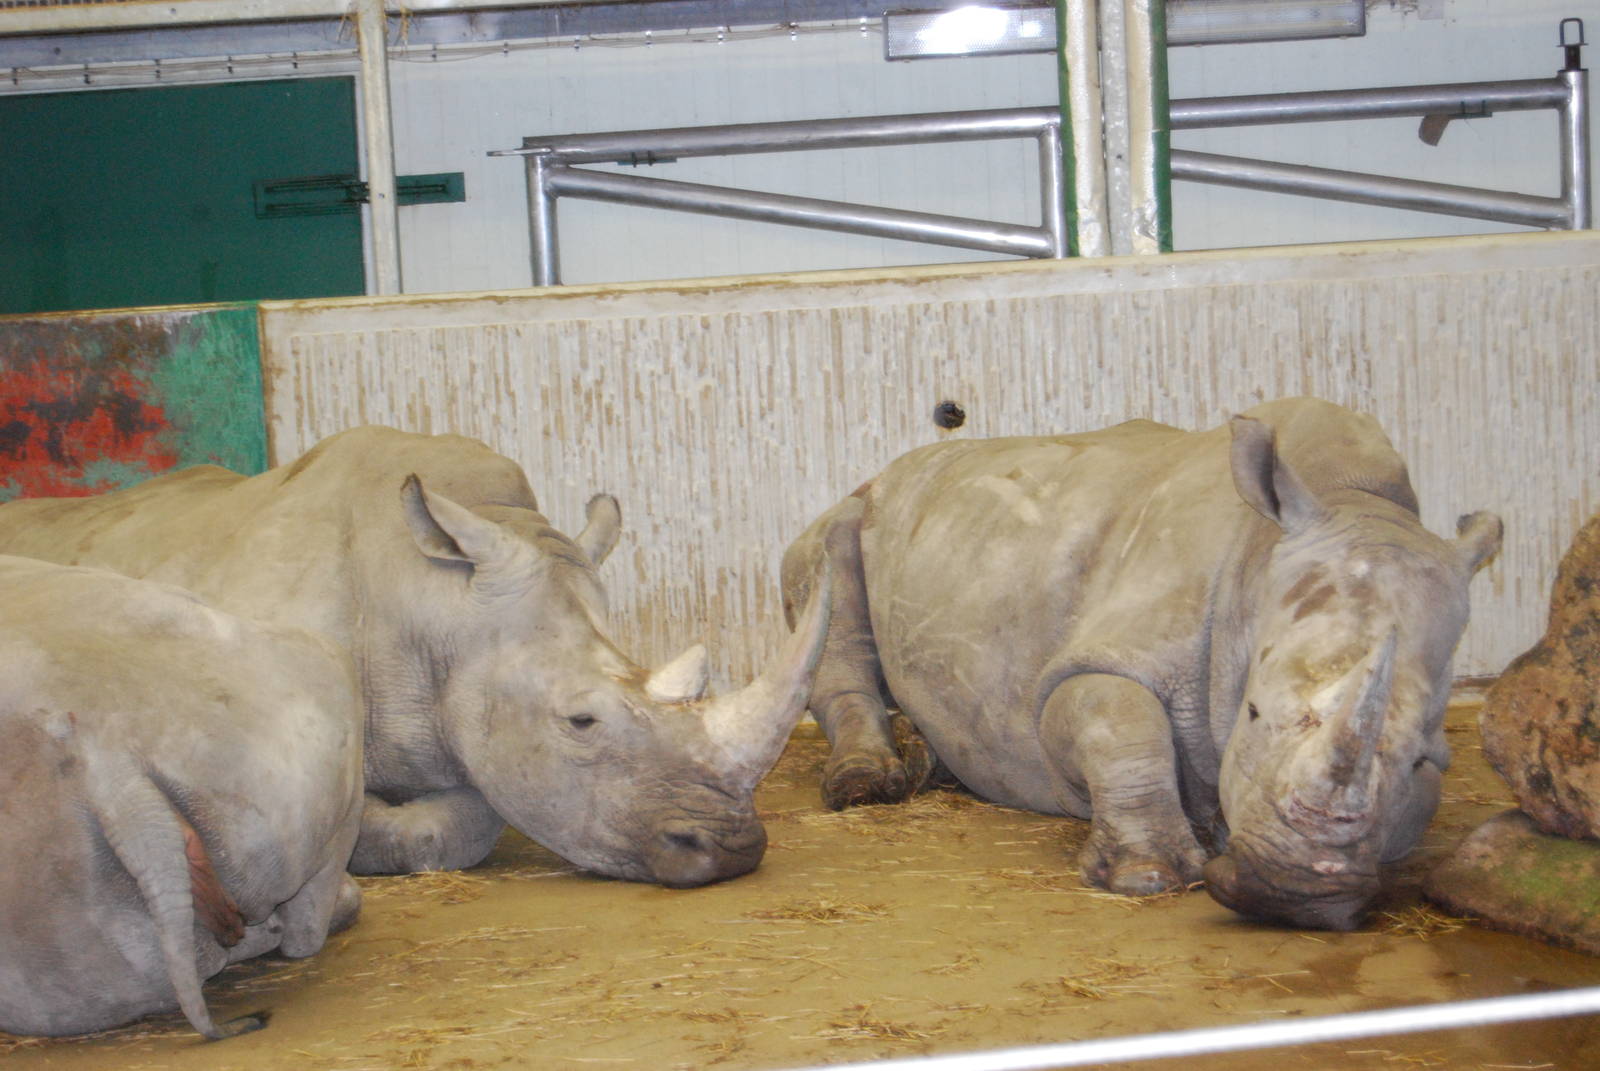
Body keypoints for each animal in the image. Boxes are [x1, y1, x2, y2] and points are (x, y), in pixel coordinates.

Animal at [781, 398, 1501, 929]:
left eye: (1423, 760)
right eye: (1253, 711)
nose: (1291, 892)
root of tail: (890, 470)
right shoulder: (1111, 648)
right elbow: (1118, 722)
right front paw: (1147, 877)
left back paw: (927, 765)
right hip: (849, 515)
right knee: (828, 596)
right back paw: (864, 786)